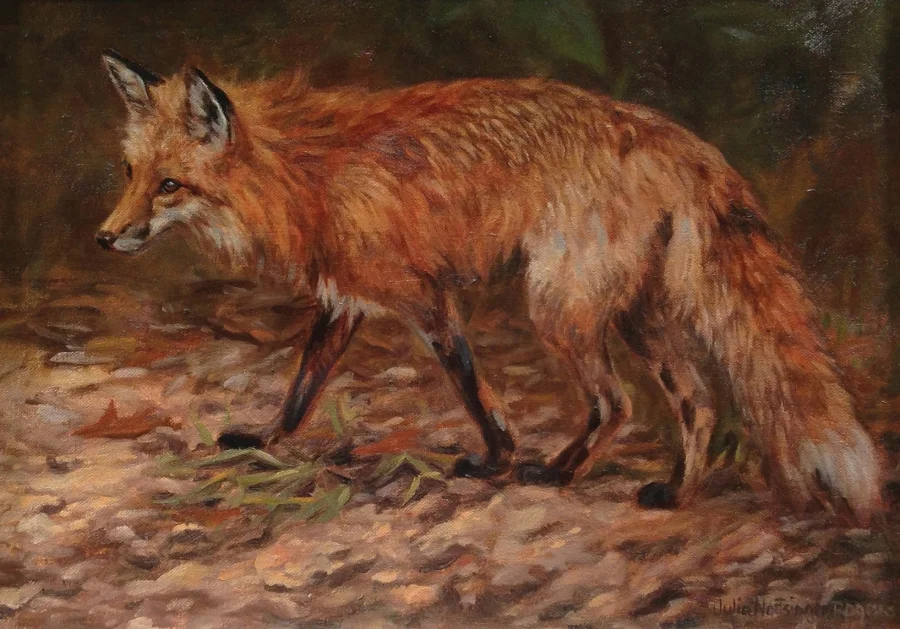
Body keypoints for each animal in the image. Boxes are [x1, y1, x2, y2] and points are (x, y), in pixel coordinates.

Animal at [97, 49, 882, 522]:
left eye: (170, 185)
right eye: (131, 174)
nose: (104, 237)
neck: (303, 174)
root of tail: (673, 137)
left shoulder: (424, 296)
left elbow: (474, 388)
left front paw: (496, 459)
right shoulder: (345, 301)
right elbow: (299, 390)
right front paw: (263, 440)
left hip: (560, 307)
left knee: (617, 401)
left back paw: (558, 473)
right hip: (635, 315)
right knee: (697, 401)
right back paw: (675, 492)